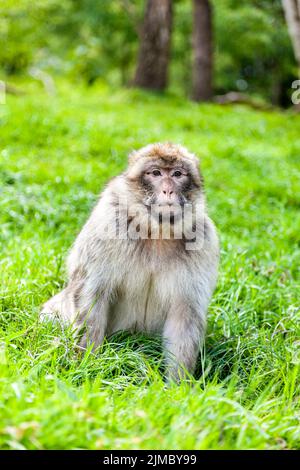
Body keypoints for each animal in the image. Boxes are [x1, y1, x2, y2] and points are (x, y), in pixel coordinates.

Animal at [41, 141, 219, 380]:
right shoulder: (107, 224)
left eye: (177, 174)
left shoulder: (205, 242)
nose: (168, 189)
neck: (157, 232)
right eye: (156, 173)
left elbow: (185, 315)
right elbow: (91, 296)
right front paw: (85, 367)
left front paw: (178, 385)